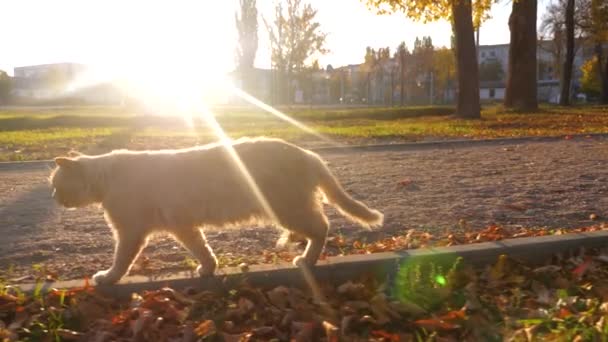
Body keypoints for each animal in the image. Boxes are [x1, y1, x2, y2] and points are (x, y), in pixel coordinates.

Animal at [51, 138, 384, 284]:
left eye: (55, 184)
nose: (53, 197)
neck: (105, 177)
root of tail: (307, 153)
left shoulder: (130, 232)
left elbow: (121, 261)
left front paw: (106, 278)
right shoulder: (183, 227)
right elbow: (203, 250)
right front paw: (208, 269)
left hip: (288, 208)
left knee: (322, 228)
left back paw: (306, 259)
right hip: (290, 209)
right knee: (315, 226)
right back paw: (291, 243)